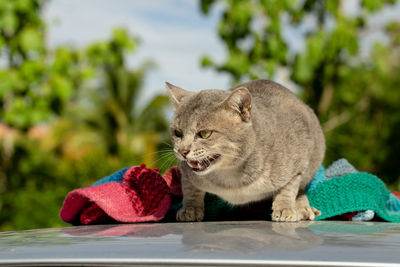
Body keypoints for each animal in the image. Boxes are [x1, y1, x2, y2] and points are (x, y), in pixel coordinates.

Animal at [166, 80, 324, 224]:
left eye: (204, 134)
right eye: (178, 133)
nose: (182, 151)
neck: (230, 173)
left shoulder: (299, 159)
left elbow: (288, 188)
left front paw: (285, 208)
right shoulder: (185, 171)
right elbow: (190, 189)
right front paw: (190, 209)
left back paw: (304, 209)